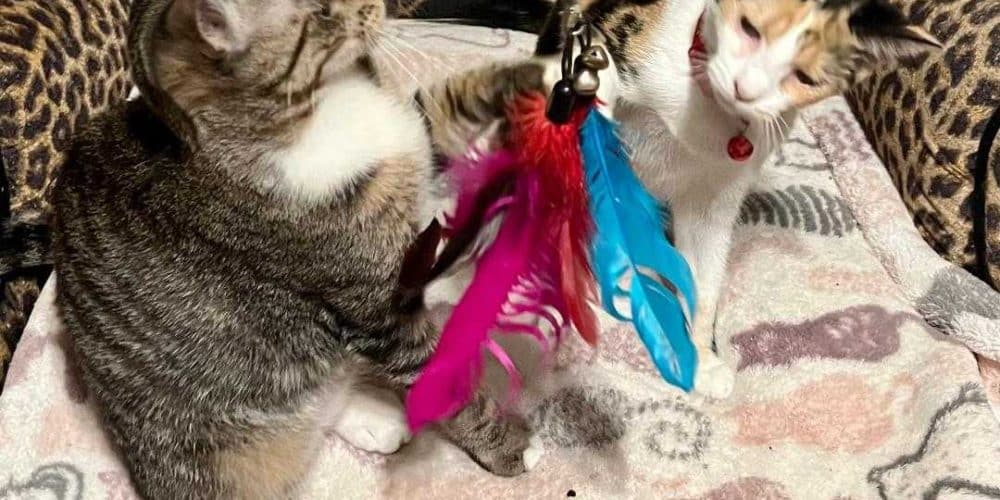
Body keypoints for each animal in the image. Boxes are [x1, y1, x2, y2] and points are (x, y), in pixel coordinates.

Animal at [51, 0, 546, 497]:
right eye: (324, 13)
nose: (383, 7)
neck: (325, 107)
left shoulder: (416, 134)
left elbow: (446, 106)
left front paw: (538, 70)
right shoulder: (380, 309)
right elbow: (445, 382)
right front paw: (507, 446)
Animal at [409, 0, 941, 397]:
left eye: (806, 78)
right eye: (749, 28)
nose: (745, 88)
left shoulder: (720, 188)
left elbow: (705, 275)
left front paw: (700, 357)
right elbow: (588, 69)